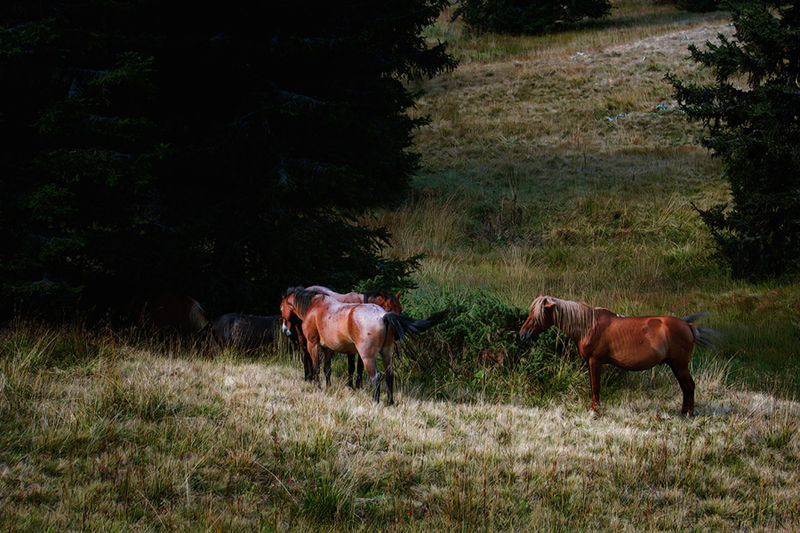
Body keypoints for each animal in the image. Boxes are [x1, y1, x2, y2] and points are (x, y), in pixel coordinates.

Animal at [280, 286, 446, 405]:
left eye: (281, 308)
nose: (285, 330)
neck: (315, 306)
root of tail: (383, 315)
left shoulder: (313, 344)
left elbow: (317, 367)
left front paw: (318, 388)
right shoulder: (328, 348)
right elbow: (327, 369)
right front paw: (328, 387)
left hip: (367, 356)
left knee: (376, 377)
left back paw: (375, 402)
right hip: (387, 354)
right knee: (389, 375)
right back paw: (390, 402)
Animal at [519, 295, 715, 416]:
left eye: (537, 314)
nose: (522, 335)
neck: (588, 326)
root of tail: (687, 325)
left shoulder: (595, 361)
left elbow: (595, 386)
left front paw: (595, 411)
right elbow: (593, 385)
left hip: (680, 365)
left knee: (689, 385)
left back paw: (689, 413)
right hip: (675, 365)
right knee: (685, 387)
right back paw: (683, 412)